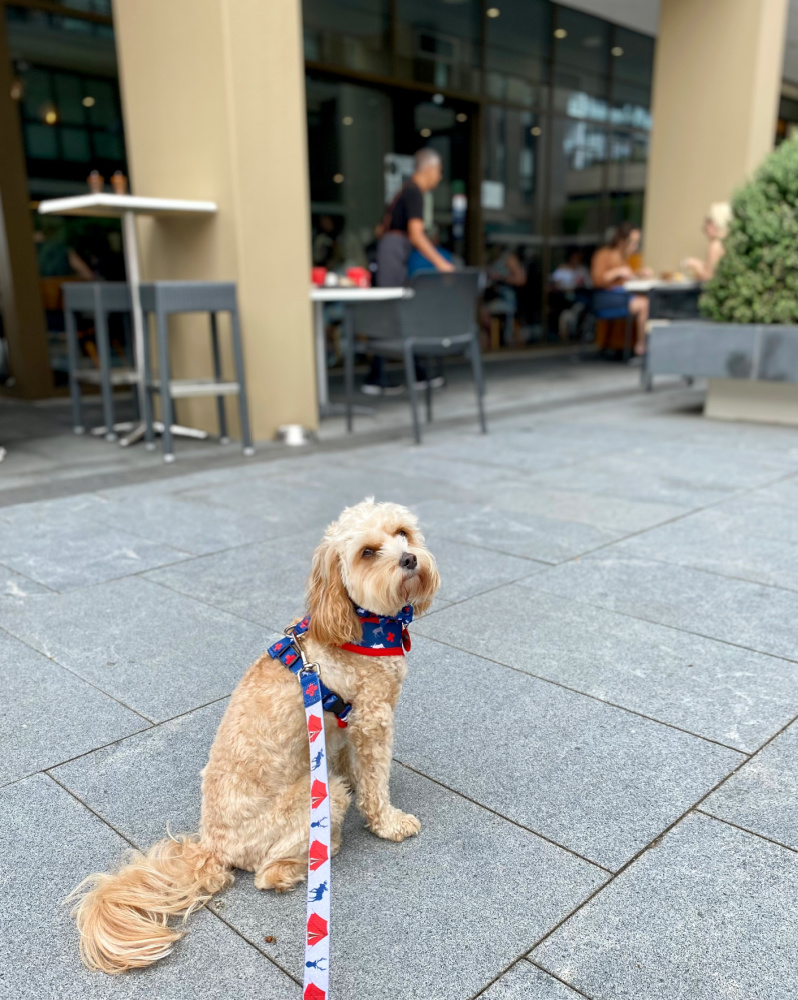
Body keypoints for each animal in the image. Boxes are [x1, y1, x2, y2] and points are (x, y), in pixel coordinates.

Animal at [68, 500, 440, 976]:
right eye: (367, 553)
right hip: (313, 804)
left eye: (402, 533)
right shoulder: (373, 719)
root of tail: (211, 846)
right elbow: (375, 782)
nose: (410, 559)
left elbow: (347, 764)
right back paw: (317, 855)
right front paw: (389, 822)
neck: (358, 623)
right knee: (268, 873)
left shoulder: (339, 727)